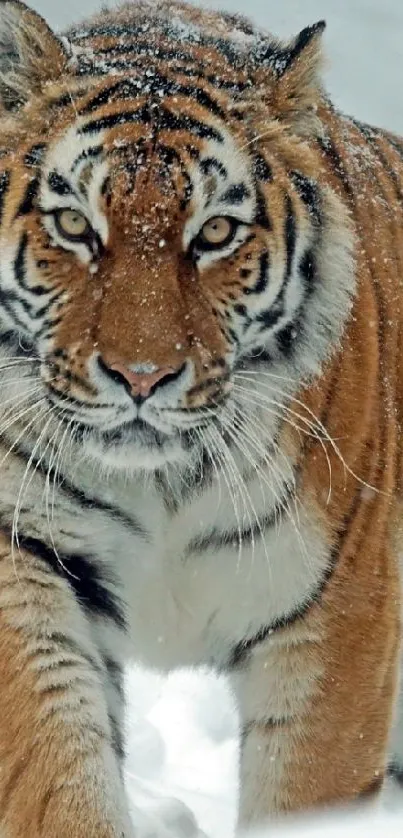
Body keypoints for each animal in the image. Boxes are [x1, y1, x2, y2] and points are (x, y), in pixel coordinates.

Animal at [0, 0, 403, 834]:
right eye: (75, 225)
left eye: (214, 233)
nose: (140, 377)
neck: (161, 484)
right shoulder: (25, 557)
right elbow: (56, 774)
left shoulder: (338, 616)